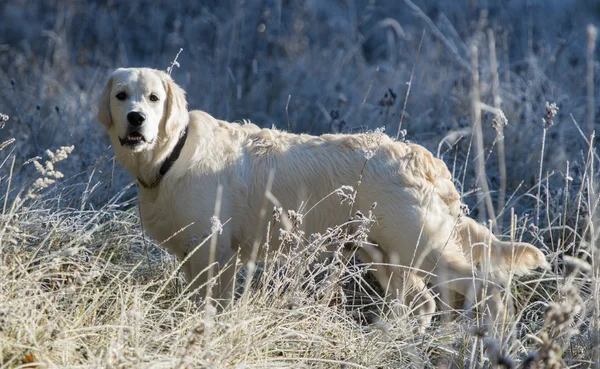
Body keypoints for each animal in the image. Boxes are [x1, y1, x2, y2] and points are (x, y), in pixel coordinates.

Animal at [97, 67, 548, 330]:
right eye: (122, 95)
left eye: (154, 98)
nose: (136, 119)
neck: (171, 155)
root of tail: (426, 159)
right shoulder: (194, 257)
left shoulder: (216, 252)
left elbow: (214, 307)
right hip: (384, 253)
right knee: (421, 304)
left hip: (422, 246)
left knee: (487, 284)